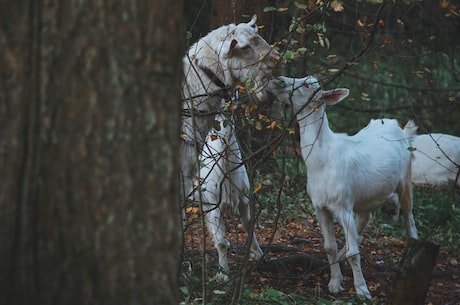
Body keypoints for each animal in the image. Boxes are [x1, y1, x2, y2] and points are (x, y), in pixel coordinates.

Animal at [268, 75, 418, 298]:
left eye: (307, 84)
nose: (277, 79)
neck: (320, 163)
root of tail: (402, 128)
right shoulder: (319, 205)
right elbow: (329, 246)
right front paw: (334, 283)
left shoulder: (343, 203)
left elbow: (354, 252)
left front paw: (362, 290)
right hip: (366, 196)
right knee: (365, 219)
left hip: (405, 178)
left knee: (409, 217)